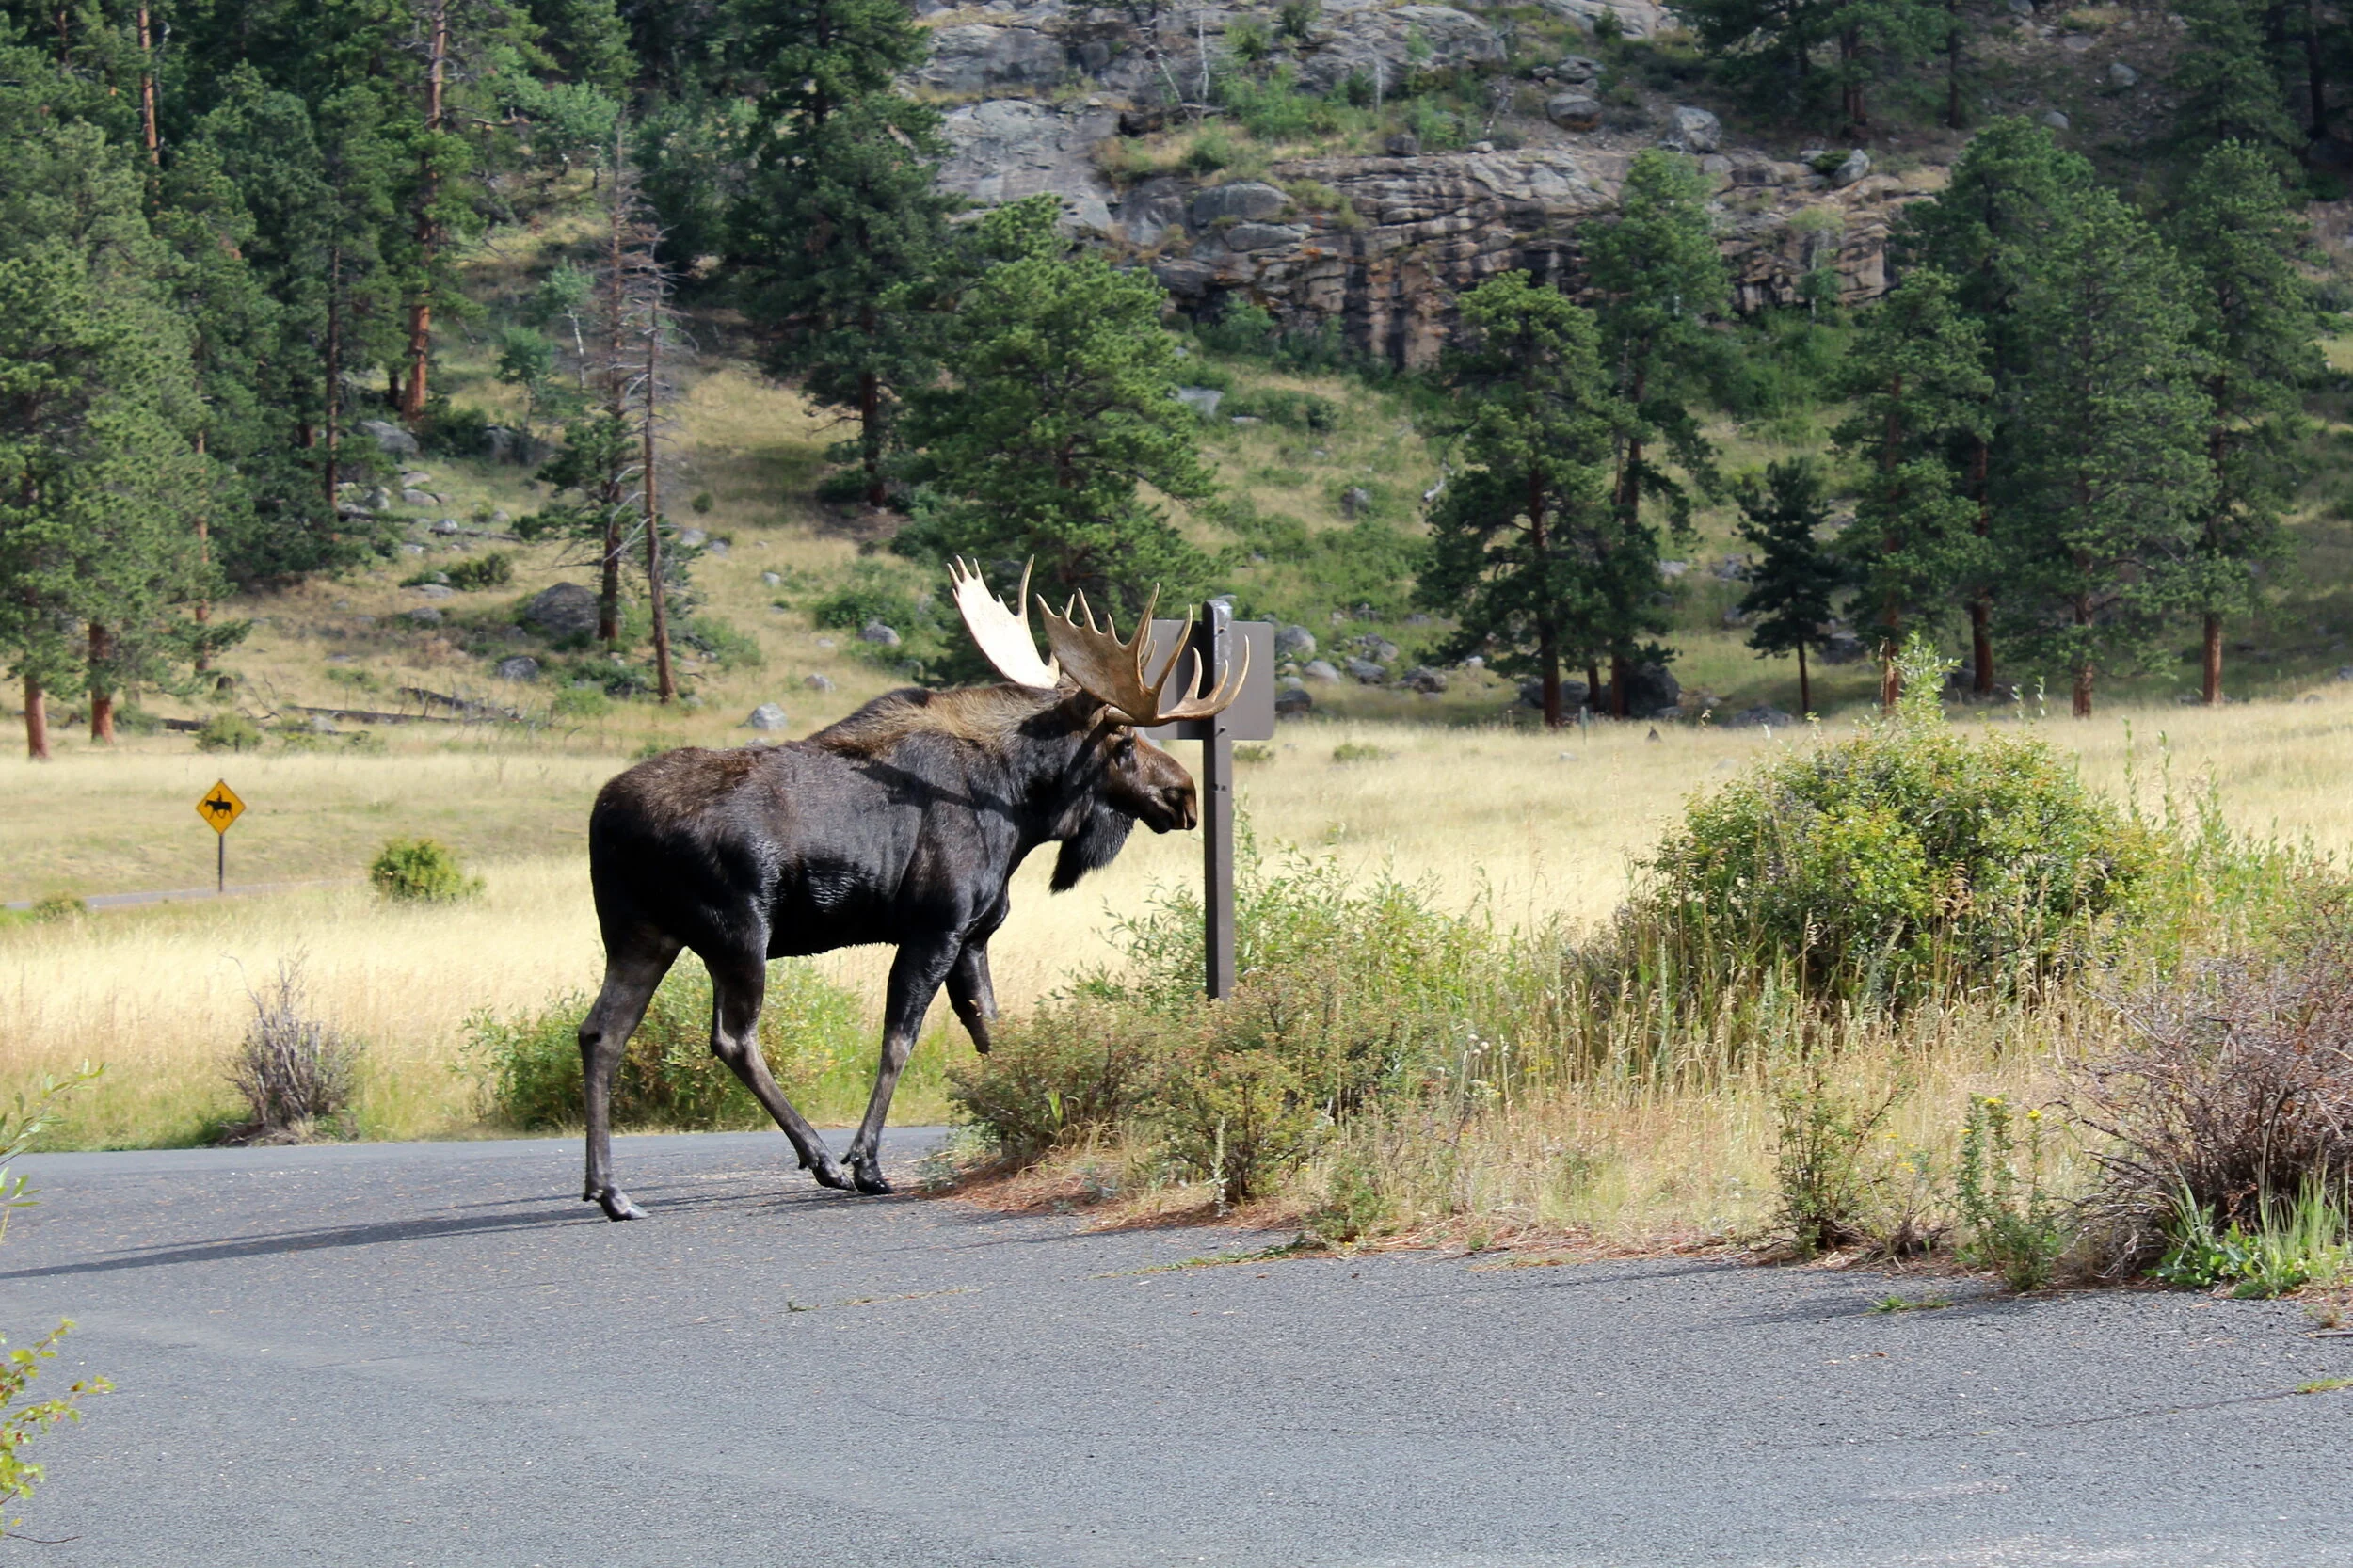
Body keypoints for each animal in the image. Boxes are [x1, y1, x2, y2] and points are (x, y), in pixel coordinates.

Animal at [575, 562, 1246, 1219]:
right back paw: (822, 1160)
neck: (1020, 812)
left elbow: (992, 1033)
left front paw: (1032, 1121)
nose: (1185, 796)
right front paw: (867, 1163)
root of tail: (605, 817)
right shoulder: (936, 927)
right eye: (1125, 741)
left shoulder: (974, 937)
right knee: (732, 1038)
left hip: (640, 933)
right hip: (736, 933)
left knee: (601, 1033)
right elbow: (901, 1039)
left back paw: (610, 1190)